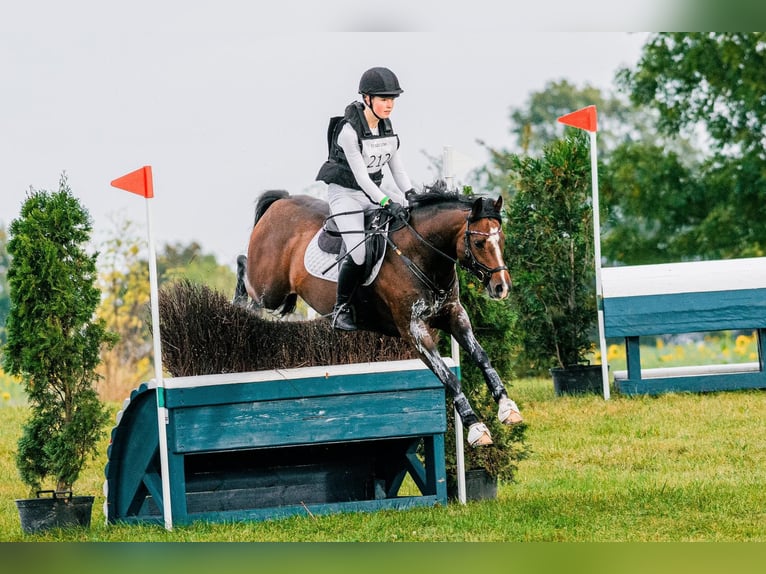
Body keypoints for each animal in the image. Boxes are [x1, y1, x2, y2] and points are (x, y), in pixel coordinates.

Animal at [232, 187, 520, 448]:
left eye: (502, 240)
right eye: (479, 243)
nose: (502, 287)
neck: (420, 253)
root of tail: (281, 202)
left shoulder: (453, 314)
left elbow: (481, 356)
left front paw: (507, 406)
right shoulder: (413, 330)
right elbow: (448, 376)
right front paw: (475, 427)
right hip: (269, 288)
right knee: (244, 266)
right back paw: (238, 308)